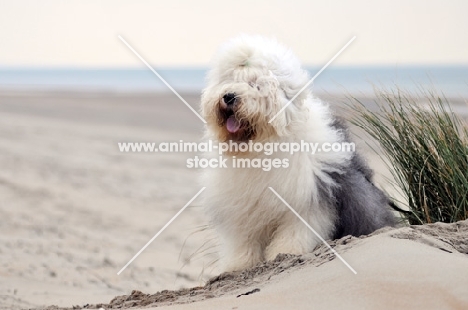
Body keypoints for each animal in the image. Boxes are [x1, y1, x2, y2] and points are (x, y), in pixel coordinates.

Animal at [200, 34, 394, 272]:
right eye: (228, 80)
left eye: (255, 84)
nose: (228, 96)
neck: (260, 147)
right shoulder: (240, 207)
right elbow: (242, 240)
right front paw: (239, 265)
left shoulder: (307, 199)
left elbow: (296, 232)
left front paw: (285, 254)